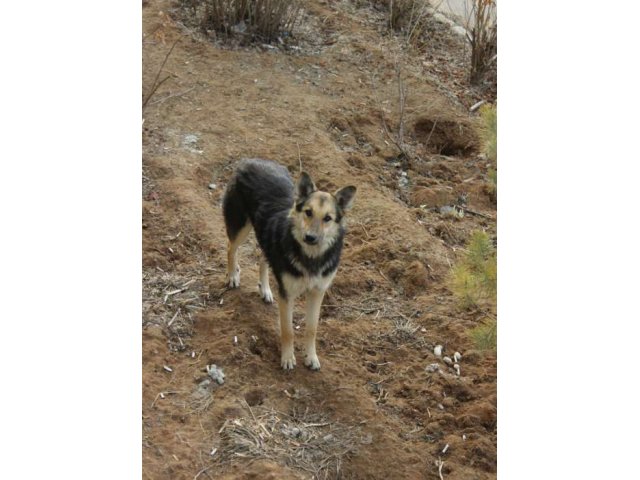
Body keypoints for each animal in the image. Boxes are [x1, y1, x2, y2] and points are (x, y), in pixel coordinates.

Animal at [224, 158, 356, 372]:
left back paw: (265, 290)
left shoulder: (318, 292)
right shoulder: (287, 295)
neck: (311, 258)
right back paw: (233, 276)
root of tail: (250, 160)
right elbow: (288, 330)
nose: (310, 237)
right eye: (308, 212)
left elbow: (312, 328)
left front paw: (311, 357)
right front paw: (287, 358)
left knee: (263, 258)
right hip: (240, 227)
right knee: (230, 248)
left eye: (327, 218)